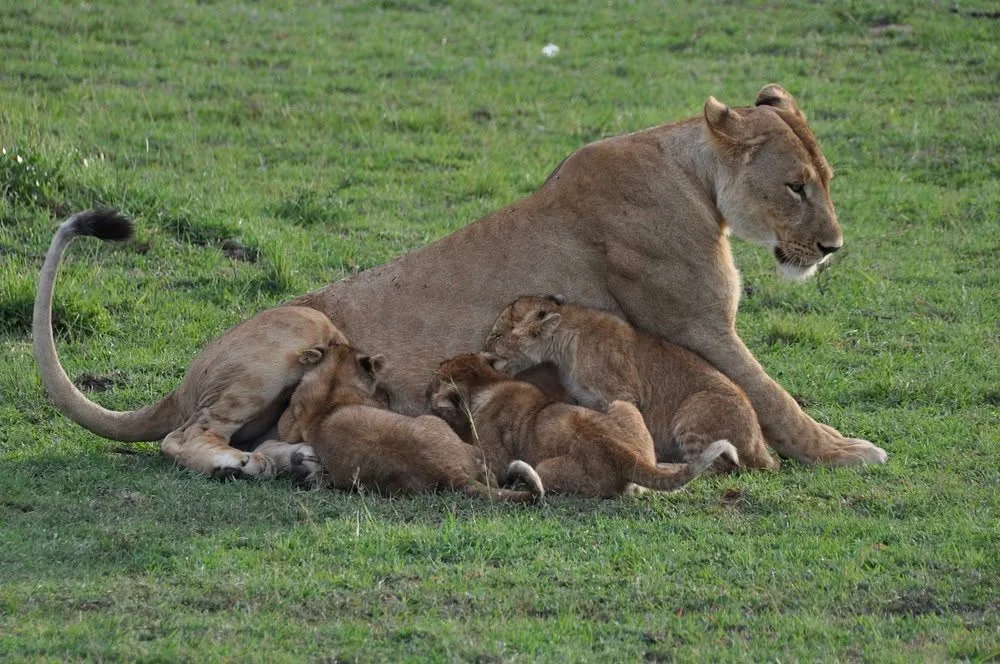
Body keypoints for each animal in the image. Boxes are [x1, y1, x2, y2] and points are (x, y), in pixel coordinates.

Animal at [427, 353, 739, 498]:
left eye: (440, 372)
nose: (428, 386)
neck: (486, 383)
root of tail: (622, 452)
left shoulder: (496, 459)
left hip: (545, 468)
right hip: (620, 405)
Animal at [484, 295, 780, 471]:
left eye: (497, 335)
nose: (482, 352)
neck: (564, 346)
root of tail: (760, 445)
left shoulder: (622, 393)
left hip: (695, 411)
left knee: (714, 467)